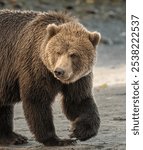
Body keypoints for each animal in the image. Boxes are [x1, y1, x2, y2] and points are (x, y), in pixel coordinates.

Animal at [0, 9, 100, 146]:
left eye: (73, 54)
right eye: (58, 52)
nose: (59, 71)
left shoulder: (78, 78)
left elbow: (78, 101)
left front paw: (78, 131)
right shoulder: (35, 66)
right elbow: (37, 100)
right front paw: (57, 139)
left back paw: (13, 137)